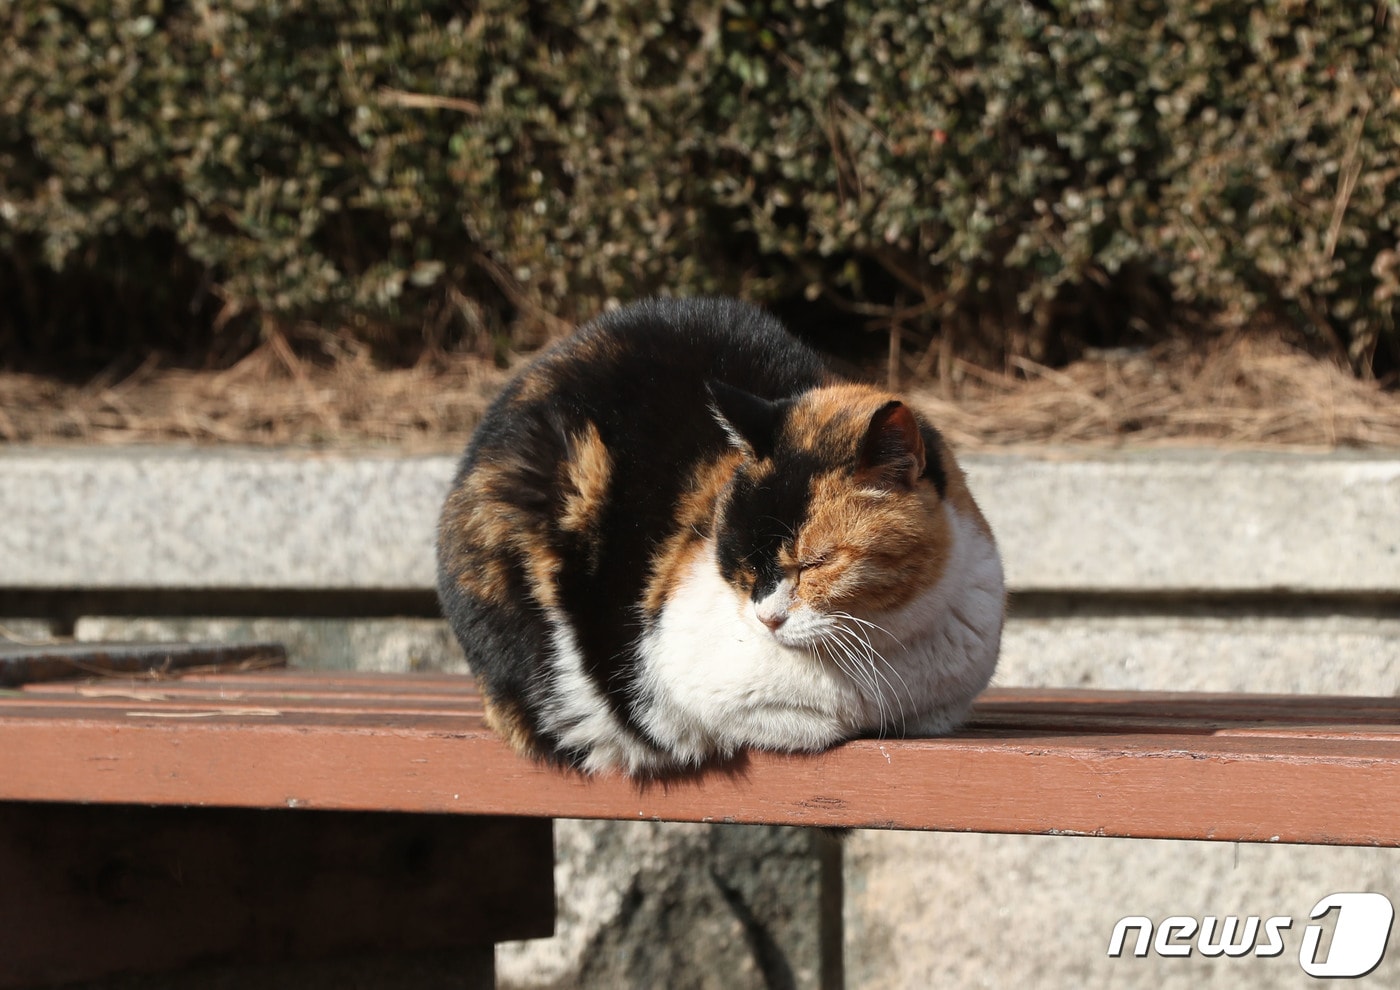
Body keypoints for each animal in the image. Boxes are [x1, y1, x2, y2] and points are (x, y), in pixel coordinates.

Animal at [436, 298, 1008, 778]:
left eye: (815, 563)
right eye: (743, 561)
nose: (768, 619)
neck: (885, 651)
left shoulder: (948, 697)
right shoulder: (674, 675)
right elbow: (800, 720)